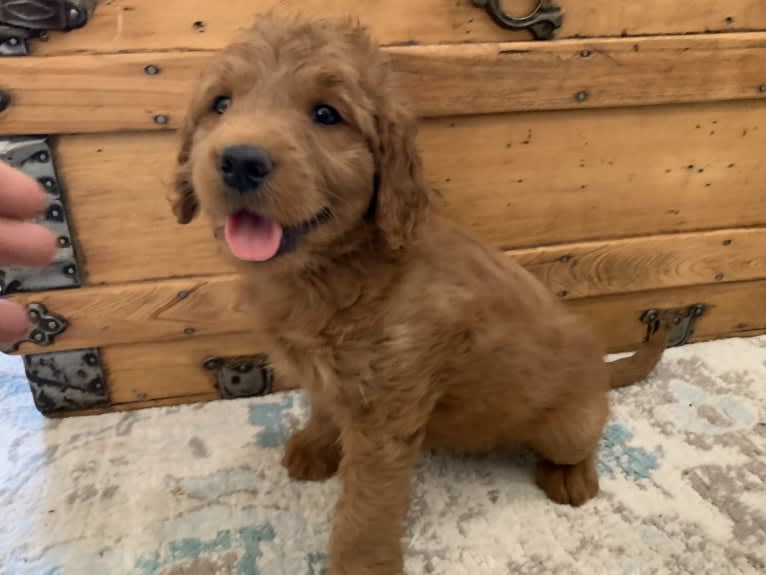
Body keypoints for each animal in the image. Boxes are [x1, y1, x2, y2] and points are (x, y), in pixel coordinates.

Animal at [171, 14, 668, 575]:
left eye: (326, 114)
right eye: (221, 104)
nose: (240, 161)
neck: (334, 270)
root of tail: (600, 369)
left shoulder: (387, 410)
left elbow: (367, 504)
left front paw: (361, 564)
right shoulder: (326, 375)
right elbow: (323, 407)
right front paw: (315, 447)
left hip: (569, 424)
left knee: (582, 440)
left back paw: (572, 478)